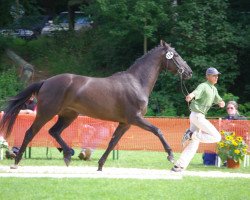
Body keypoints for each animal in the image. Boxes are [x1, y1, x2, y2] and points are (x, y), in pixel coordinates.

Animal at [0, 40, 191, 170]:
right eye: (176, 55)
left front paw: (100, 165)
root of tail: (45, 81)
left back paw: (68, 155)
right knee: (30, 132)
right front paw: (171, 156)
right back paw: (16, 162)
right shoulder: (135, 119)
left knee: (54, 132)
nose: (189, 72)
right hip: (46, 113)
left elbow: (113, 142)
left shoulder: (125, 123)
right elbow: (158, 131)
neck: (136, 82)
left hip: (68, 115)